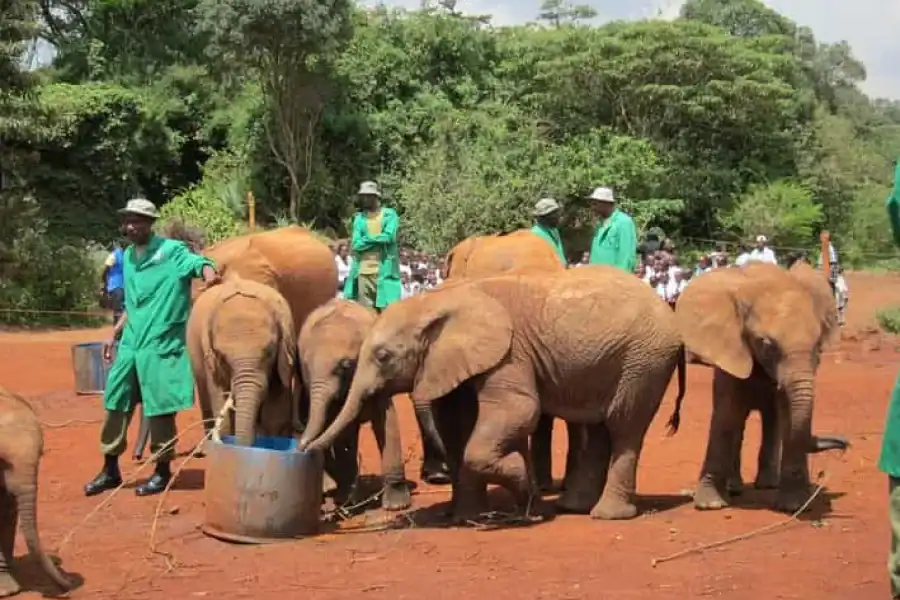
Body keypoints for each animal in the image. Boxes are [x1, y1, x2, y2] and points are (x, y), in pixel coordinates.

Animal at [187, 276, 298, 446]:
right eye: (221, 356)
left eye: (270, 352)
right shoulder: (211, 362)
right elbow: (221, 407)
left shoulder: (285, 354)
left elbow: (275, 414)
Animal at [296, 299, 411, 511]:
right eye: (305, 365)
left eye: (345, 366)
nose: (303, 449)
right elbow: (342, 431)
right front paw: (345, 498)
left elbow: (386, 420)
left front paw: (397, 505)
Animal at [674, 261, 848, 514]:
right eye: (767, 344)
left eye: (818, 344)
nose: (844, 443)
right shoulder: (730, 350)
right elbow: (726, 415)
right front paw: (710, 505)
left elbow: (788, 415)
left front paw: (793, 506)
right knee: (737, 421)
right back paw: (735, 487)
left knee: (772, 421)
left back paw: (767, 484)